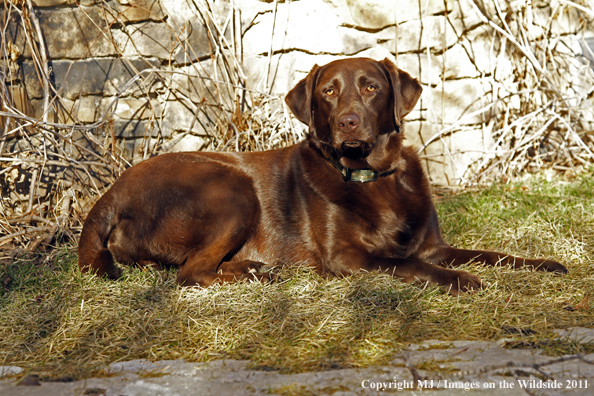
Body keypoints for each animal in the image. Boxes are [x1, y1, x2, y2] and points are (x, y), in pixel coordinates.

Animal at [78, 58, 564, 294]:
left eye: (371, 86)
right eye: (329, 91)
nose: (349, 121)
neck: (374, 177)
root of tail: (111, 193)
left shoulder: (435, 246)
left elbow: (491, 254)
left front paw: (546, 264)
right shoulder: (346, 258)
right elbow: (407, 264)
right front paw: (462, 282)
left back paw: (255, 269)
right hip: (231, 189)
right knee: (189, 273)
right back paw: (257, 276)